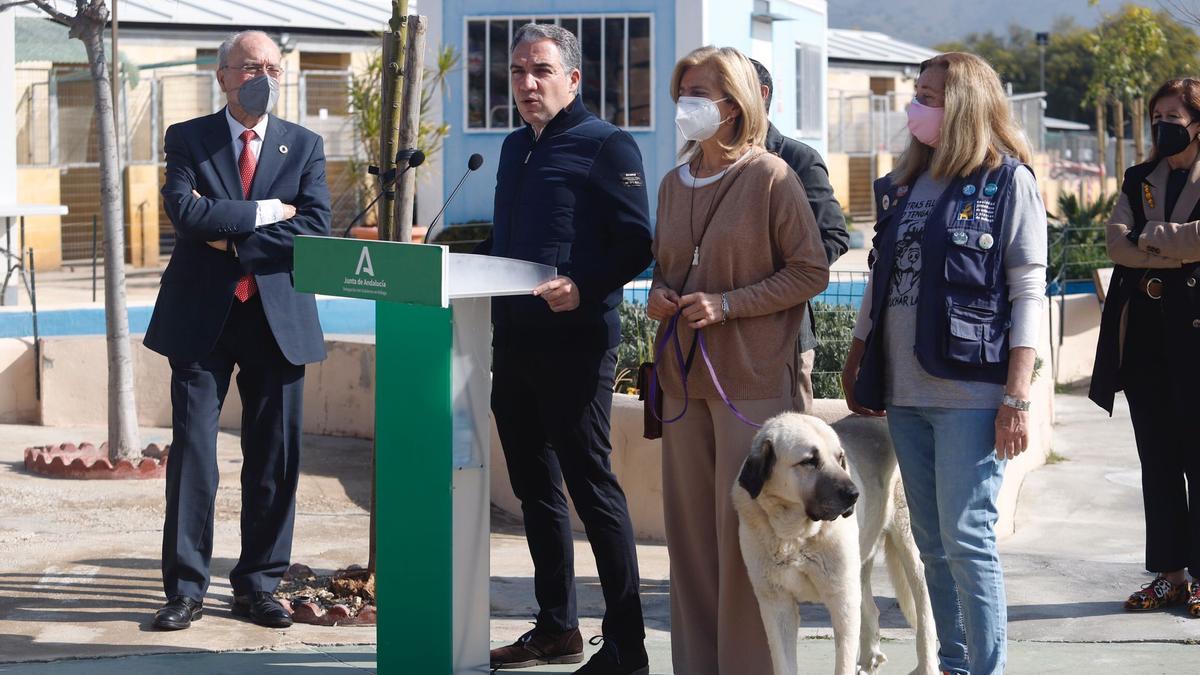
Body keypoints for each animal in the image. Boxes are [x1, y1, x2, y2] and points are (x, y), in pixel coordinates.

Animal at [729, 410, 936, 672]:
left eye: (840, 458)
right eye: (809, 461)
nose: (854, 494)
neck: (795, 536)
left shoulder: (842, 599)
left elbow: (843, 662)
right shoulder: (776, 603)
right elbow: (784, 662)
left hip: (912, 553)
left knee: (926, 617)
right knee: (871, 610)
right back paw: (868, 660)